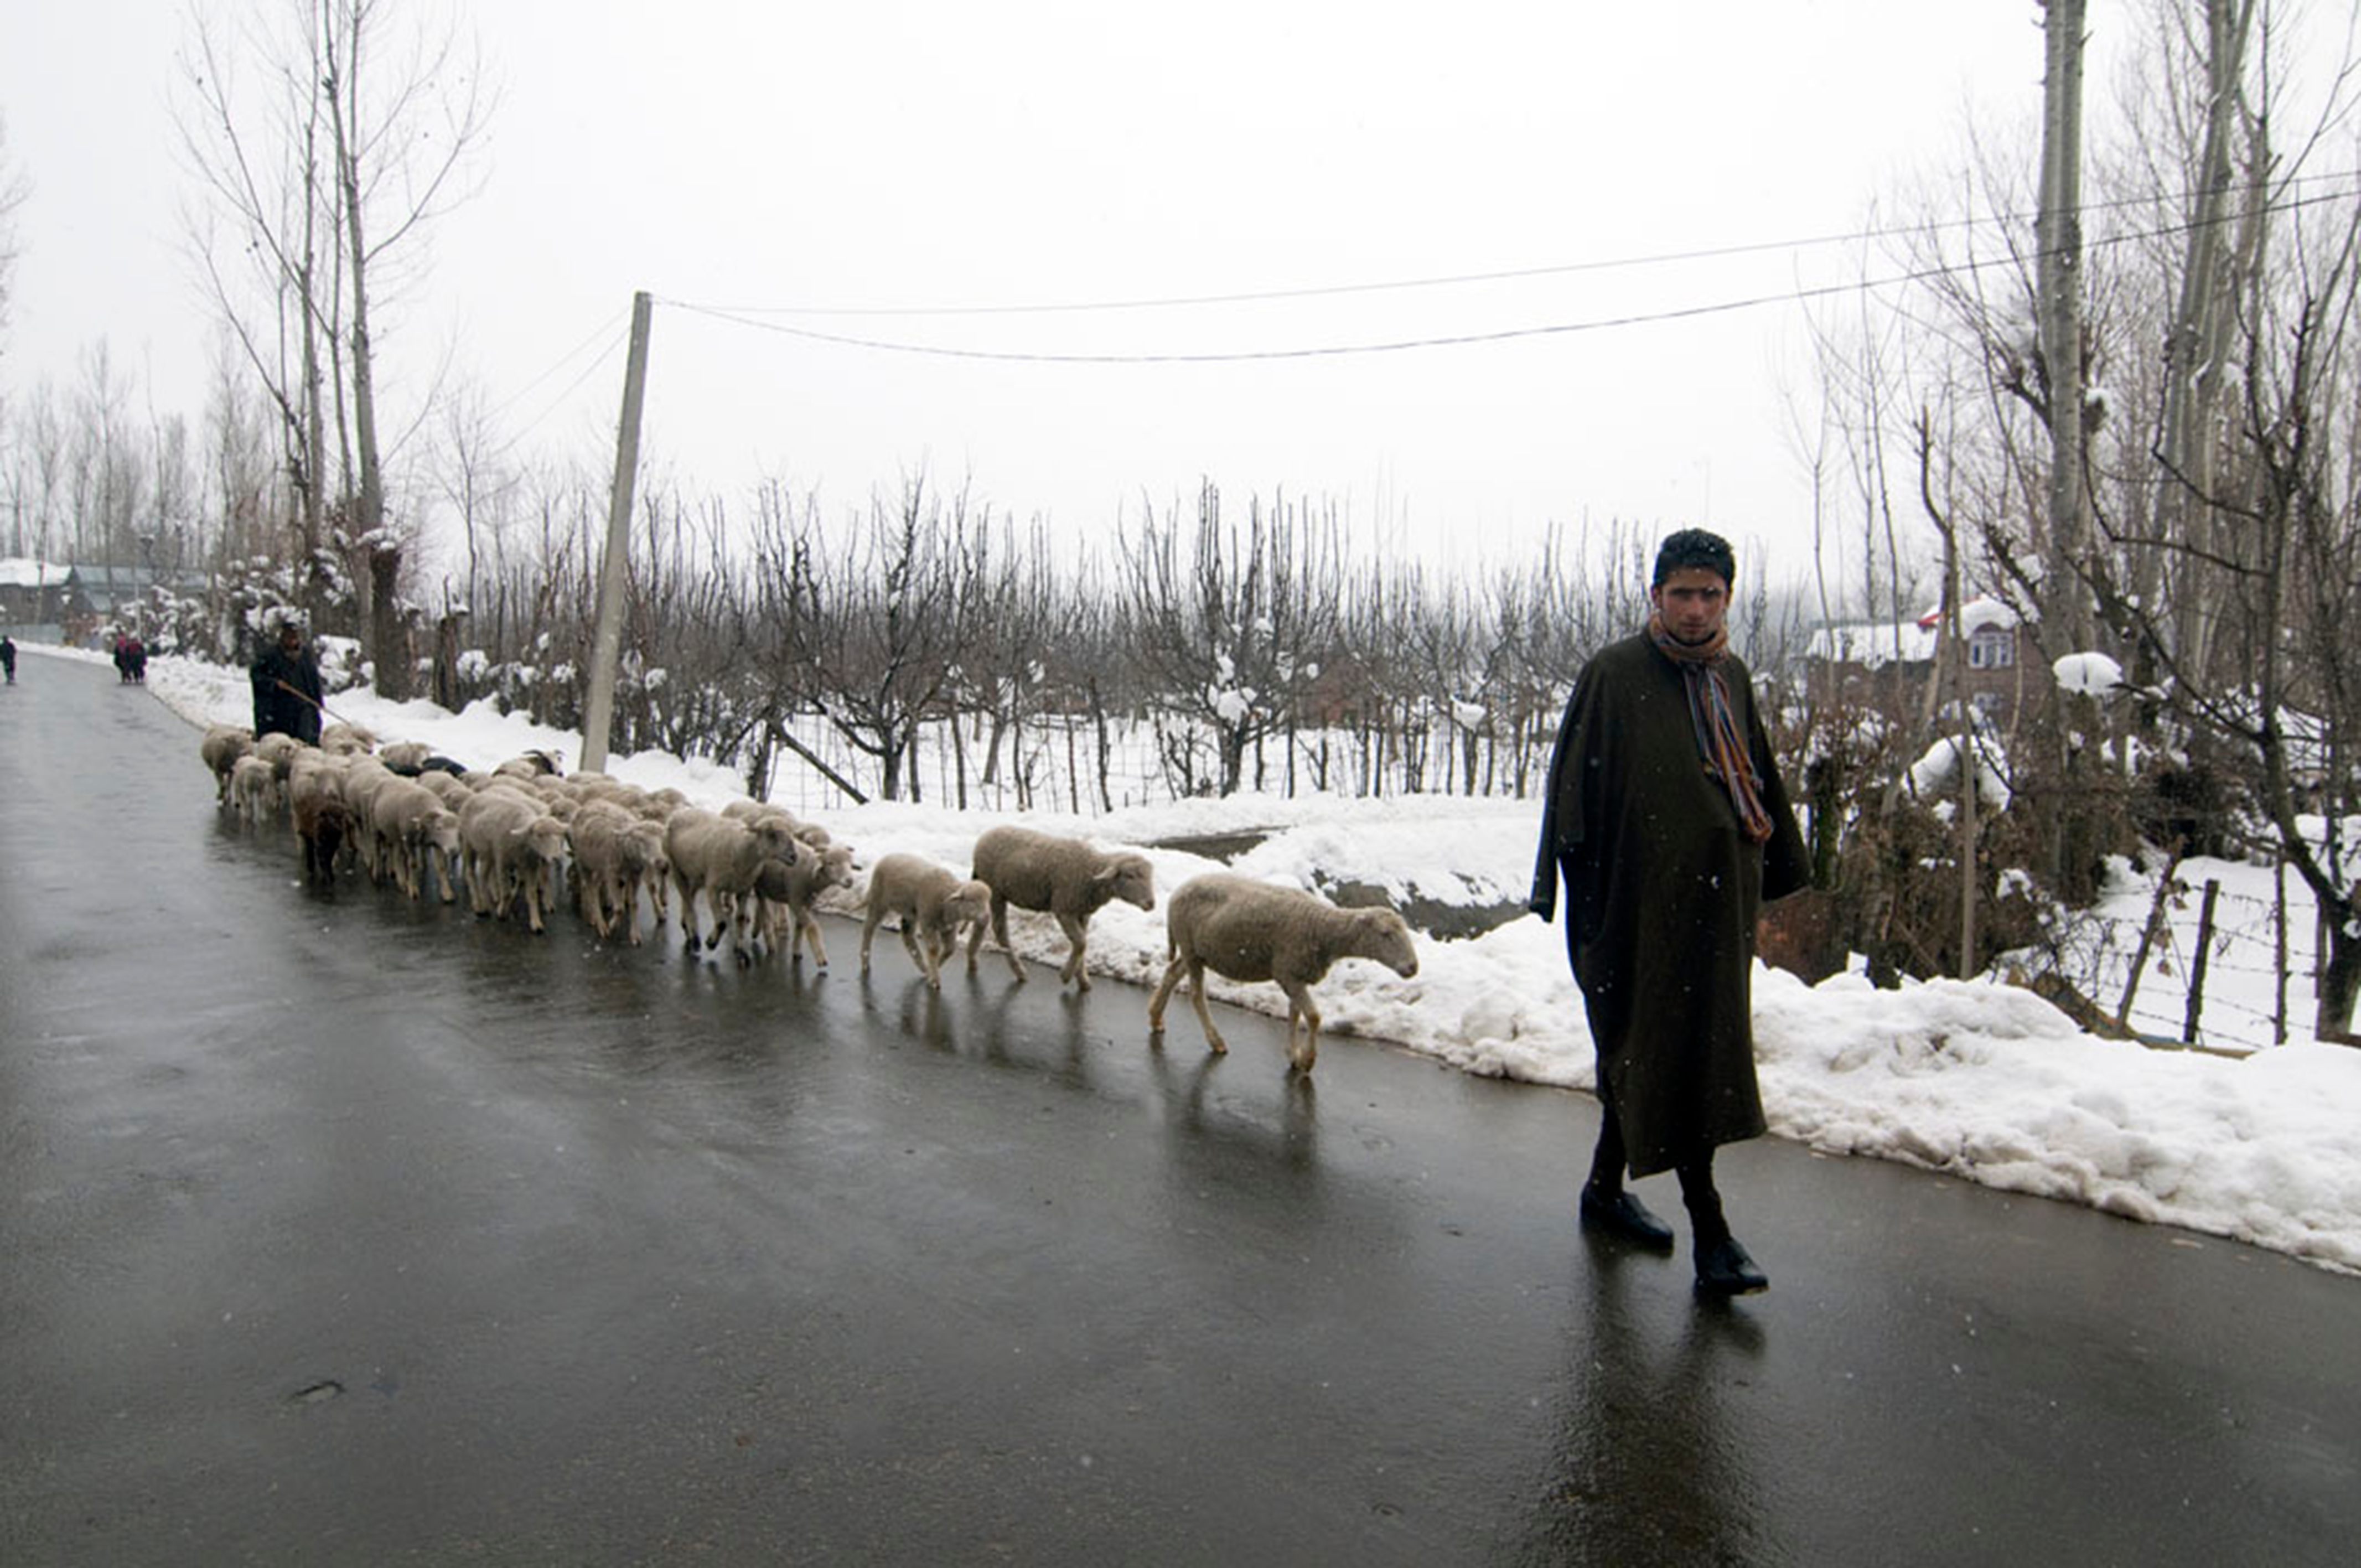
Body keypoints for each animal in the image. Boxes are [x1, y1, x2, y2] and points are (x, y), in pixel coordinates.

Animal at [666, 808, 802, 954]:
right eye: (772, 835)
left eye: (791, 834)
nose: (794, 857)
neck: (743, 852)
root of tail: (680, 812)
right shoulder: (713, 888)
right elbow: (722, 923)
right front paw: (711, 943)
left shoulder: (744, 889)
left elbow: (741, 918)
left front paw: (740, 949)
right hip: (676, 867)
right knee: (688, 901)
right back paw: (695, 938)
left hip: (697, 873)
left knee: (689, 896)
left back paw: (686, 925)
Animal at [859, 850, 987, 987]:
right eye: (972, 901)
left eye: (987, 901)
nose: (985, 917)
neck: (945, 897)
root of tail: (887, 857)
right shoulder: (928, 922)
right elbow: (933, 949)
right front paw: (935, 979)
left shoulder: (948, 927)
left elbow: (950, 949)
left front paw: (935, 968)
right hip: (879, 900)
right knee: (869, 927)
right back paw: (865, 961)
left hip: (909, 912)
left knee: (907, 935)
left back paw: (923, 966)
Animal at [963, 821, 1157, 991]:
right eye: (1130, 876)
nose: (1151, 903)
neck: (1091, 871)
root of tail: (983, 838)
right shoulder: (1064, 909)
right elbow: (1081, 943)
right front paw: (1066, 976)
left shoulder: (1082, 913)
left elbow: (1082, 944)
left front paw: (1082, 980)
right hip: (996, 891)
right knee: (1000, 930)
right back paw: (1019, 971)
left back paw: (974, 960)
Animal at [1142, 869, 1416, 1077]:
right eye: (1386, 934)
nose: (1413, 967)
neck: (1321, 929)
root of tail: (1178, 891)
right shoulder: (1289, 974)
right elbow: (1314, 1017)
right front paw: (1307, 1060)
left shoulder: (1295, 975)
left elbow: (1295, 1015)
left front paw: (1293, 1055)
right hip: (1191, 949)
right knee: (1197, 996)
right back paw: (1216, 1041)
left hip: (1197, 952)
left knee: (1172, 972)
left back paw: (1156, 1018)